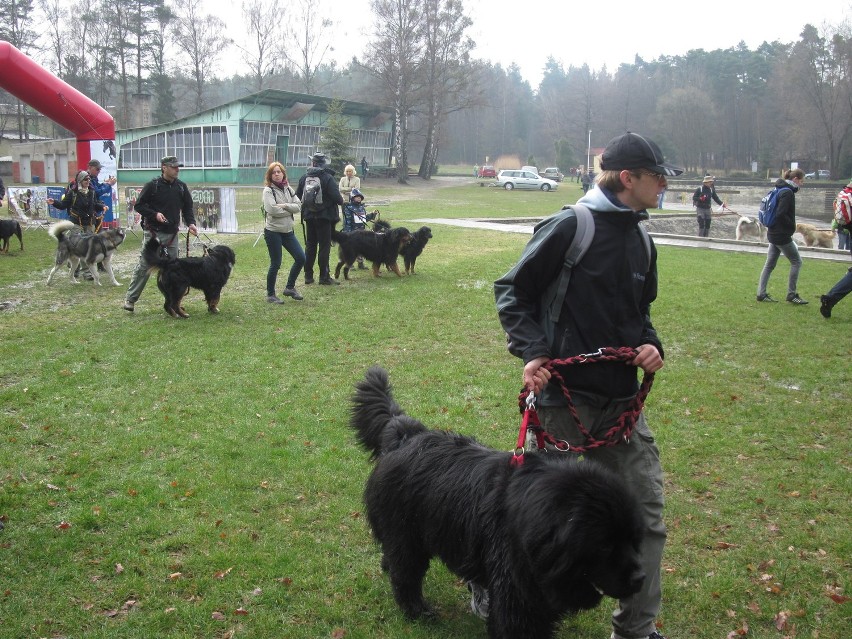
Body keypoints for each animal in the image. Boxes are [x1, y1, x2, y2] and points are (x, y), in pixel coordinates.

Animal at [350, 364, 644, 639]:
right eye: (604, 545)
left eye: (633, 539)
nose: (641, 578)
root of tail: (404, 433)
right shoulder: (516, 589)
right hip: (407, 533)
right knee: (406, 574)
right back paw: (418, 611)